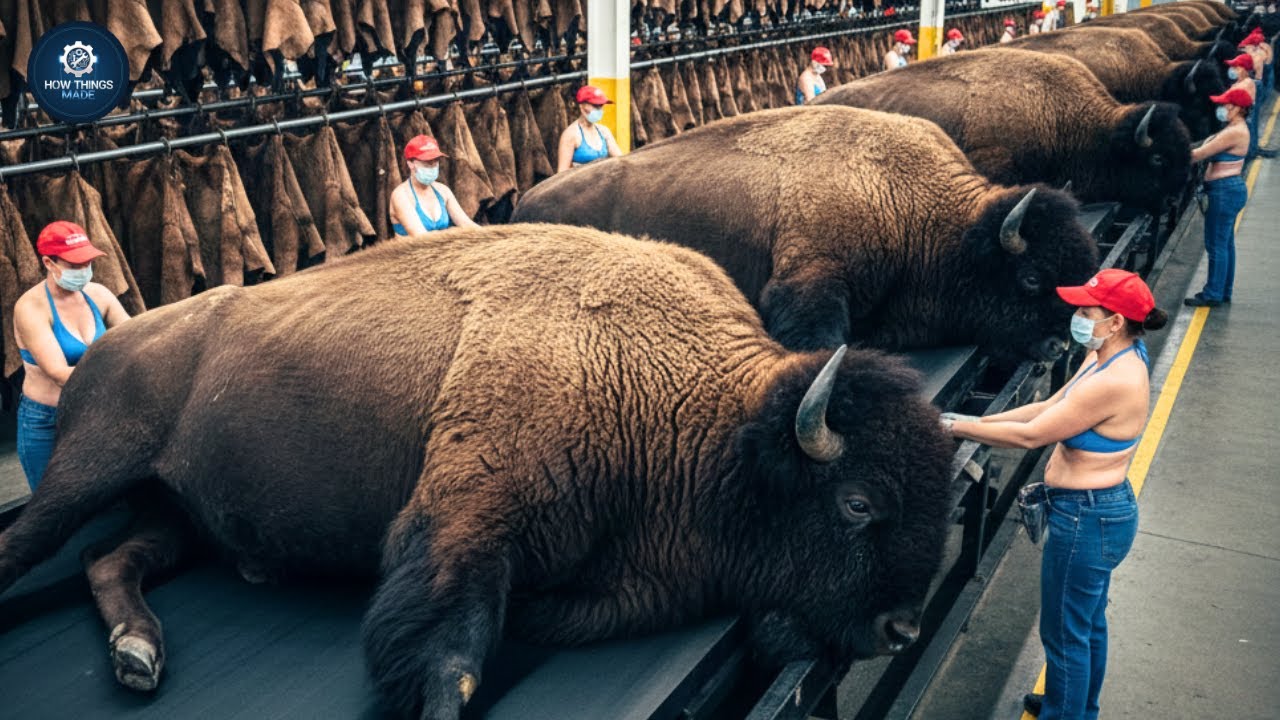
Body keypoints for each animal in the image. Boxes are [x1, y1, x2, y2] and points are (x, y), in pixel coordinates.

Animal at [0, 225, 956, 720]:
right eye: (858, 502)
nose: (902, 630)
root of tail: (111, 343)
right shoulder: (468, 523)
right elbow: (450, 659)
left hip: (176, 516)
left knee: (110, 560)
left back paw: (138, 654)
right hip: (86, 470)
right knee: (31, 548)